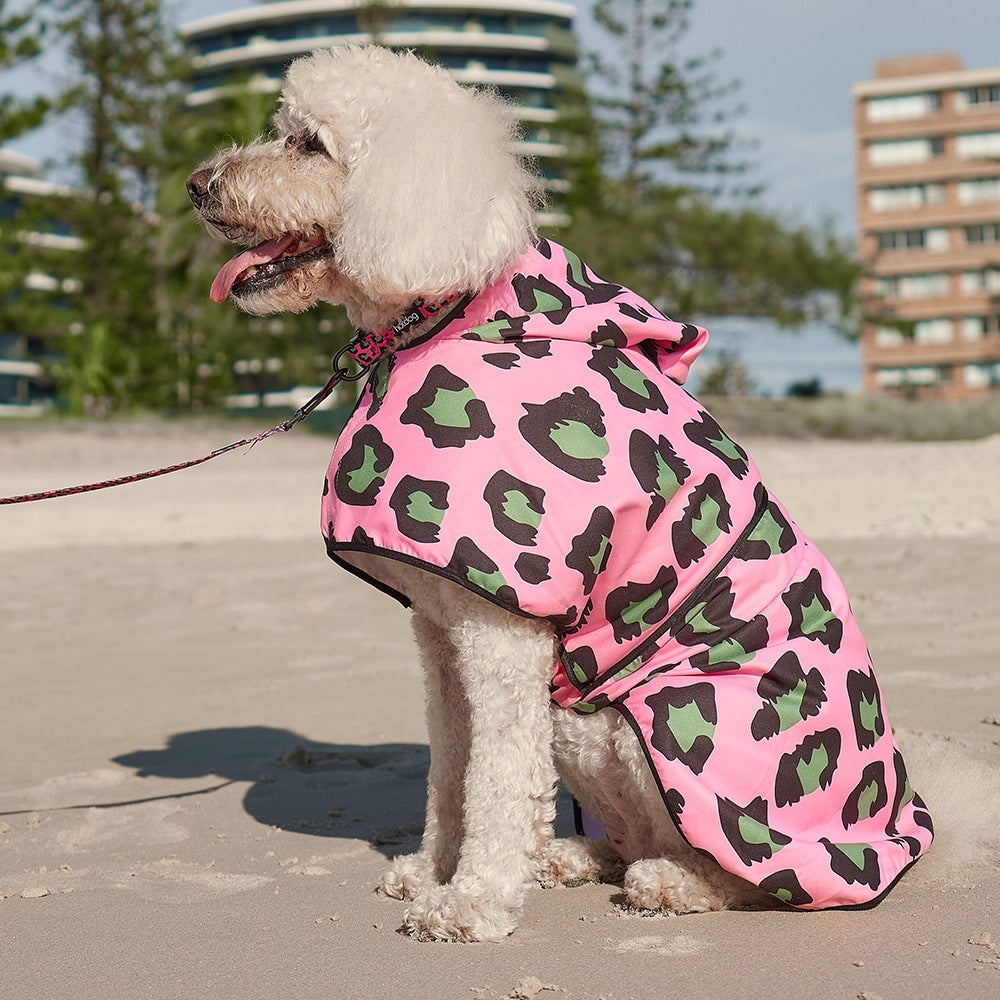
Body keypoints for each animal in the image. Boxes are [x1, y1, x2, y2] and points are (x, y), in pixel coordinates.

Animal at [191, 47, 932, 940]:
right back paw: (573, 857)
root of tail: (895, 829)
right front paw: (432, 872)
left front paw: (471, 902)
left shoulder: (502, 634)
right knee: (630, 831)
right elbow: (452, 769)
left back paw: (671, 884)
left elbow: (497, 779)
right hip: (579, 722)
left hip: (647, 726)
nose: (196, 184)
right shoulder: (441, 631)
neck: (444, 313)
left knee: (743, 870)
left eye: (308, 144)